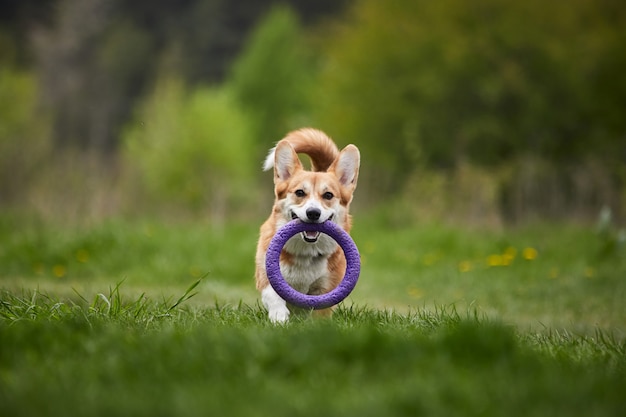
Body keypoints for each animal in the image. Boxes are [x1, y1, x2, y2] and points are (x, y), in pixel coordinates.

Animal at [255, 127, 360, 322]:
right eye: (299, 192)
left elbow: (321, 311)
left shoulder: (326, 288)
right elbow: (274, 296)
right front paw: (279, 318)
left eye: (328, 195)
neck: (306, 252)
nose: (313, 213)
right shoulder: (266, 275)